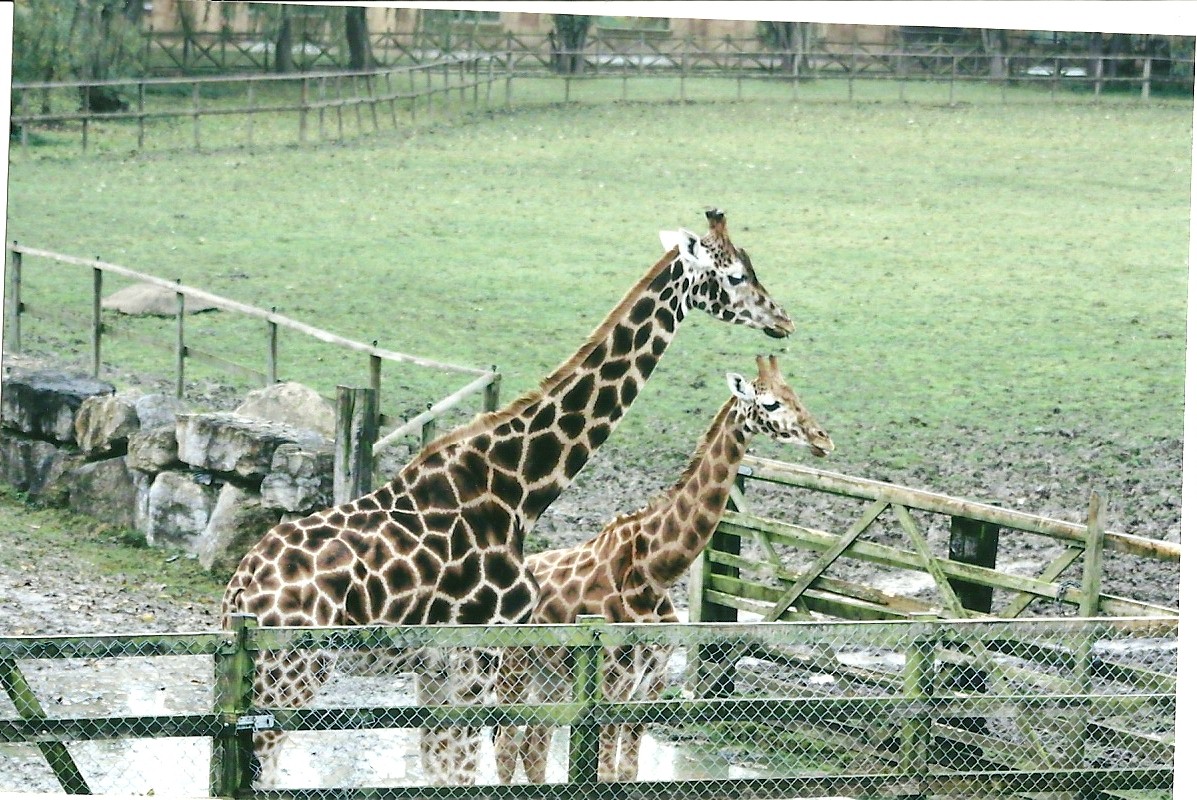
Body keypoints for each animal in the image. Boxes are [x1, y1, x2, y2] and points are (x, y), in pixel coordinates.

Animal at [220, 209, 795, 786]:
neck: (517, 488)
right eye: (736, 275)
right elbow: (466, 773)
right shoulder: (481, 651)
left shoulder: (439, 667)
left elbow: (442, 775)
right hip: (292, 672)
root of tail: (238, 593)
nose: (784, 320)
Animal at [493, 354, 833, 784]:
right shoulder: (614, 681)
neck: (654, 572)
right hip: (513, 670)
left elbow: (628, 771)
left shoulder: (651, 683)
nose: (823, 439)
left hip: (549, 677)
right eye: (770, 403)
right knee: (506, 748)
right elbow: (605, 773)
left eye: (795, 394)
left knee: (533, 747)